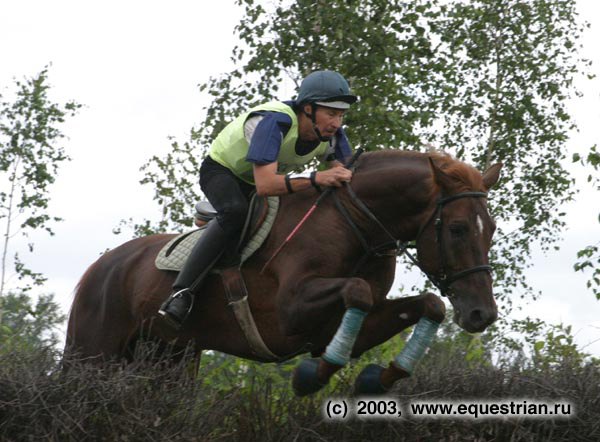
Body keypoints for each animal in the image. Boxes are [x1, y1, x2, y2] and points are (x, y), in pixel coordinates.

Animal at [64, 150, 502, 396]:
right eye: (458, 229)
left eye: (492, 229)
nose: (482, 314)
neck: (356, 223)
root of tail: (101, 266)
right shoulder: (290, 312)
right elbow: (357, 291)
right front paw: (310, 377)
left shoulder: (336, 328)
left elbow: (428, 304)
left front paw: (378, 378)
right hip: (92, 355)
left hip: (169, 359)